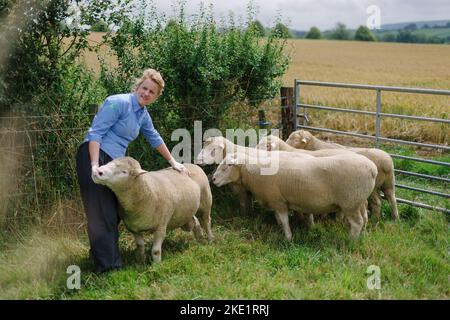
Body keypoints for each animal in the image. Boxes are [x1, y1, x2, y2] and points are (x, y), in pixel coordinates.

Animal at [211, 152, 376, 240]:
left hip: (350, 202)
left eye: (228, 166)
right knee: (365, 218)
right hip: (359, 200)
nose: (213, 179)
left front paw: (288, 237)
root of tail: (372, 169)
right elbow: (281, 219)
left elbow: (284, 220)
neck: (254, 170)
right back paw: (363, 236)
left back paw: (351, 241)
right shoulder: (280, 202)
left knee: (357, 222)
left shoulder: (278, 201)